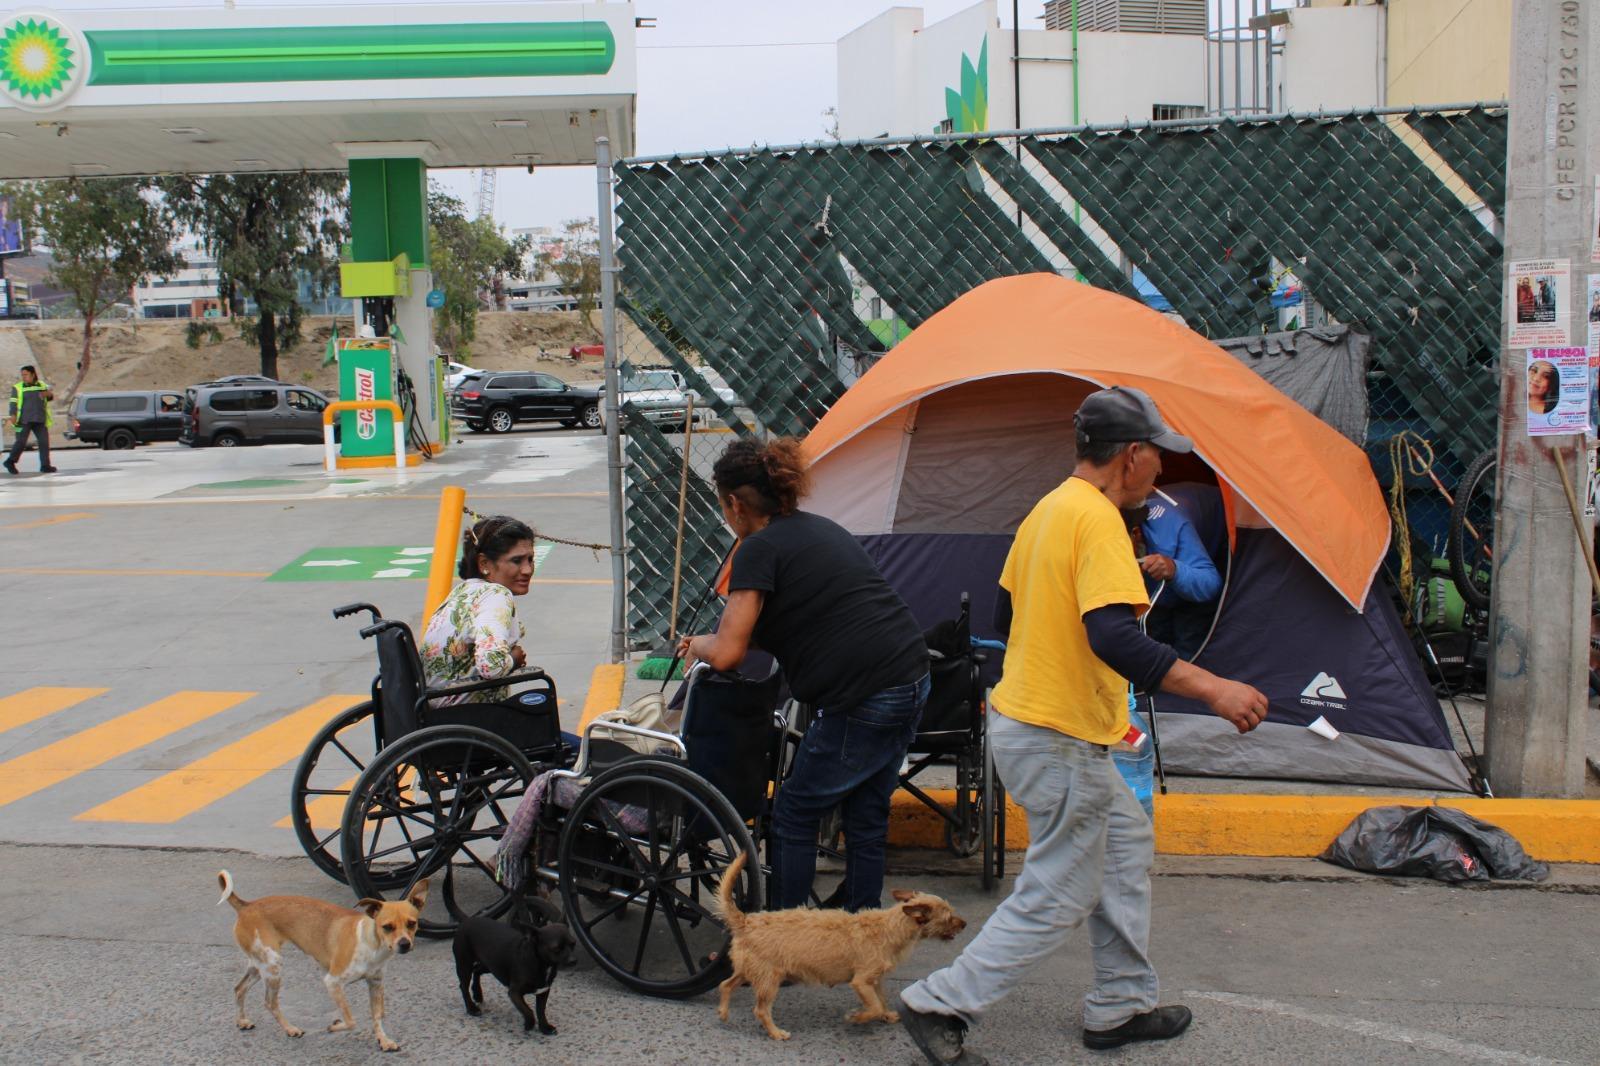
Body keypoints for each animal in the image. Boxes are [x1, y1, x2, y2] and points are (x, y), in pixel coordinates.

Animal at [222, 870, 432, 1049]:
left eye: (412, 923)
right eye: (387, 927)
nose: (404, 944)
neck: (372, 945)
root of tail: (247, 905)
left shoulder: (375, 984)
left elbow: (378, 1015)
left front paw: (383, 1040)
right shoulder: (332, 982)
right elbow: (351, 1020)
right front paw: (334, 1026)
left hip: (259, 965)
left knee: (239, 988)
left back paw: (241, 1021)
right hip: (273, 966)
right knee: (269, 1003)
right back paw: (290, 1029)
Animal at [451, 889, 576, 1030]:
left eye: (573, 944)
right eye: (556, 949)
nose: (573, 961)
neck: (541, 964)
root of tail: (467, 920)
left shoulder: (543, 992)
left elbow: (540, 1010)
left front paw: (545, 1028)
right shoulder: (514, 993)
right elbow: (528, 1010)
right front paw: (529, 1023)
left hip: (491, 965)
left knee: (476, 970)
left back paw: (477, 993)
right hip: (464, 964)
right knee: (463, 985)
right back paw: (471, 1008)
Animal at [713, 845, 960, 1037]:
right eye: (948, 917)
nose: (964, 924)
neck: (890, 926)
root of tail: (746, 921)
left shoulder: (875, 981)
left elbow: (881, 1000)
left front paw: (887, 1014)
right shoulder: (861, 981)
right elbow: (874, 1006)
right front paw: (858, 1017)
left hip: (750, 971)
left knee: (725, 984)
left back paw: (723, 1013)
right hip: (769, 980)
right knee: (761, 1010)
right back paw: (776, 1033)